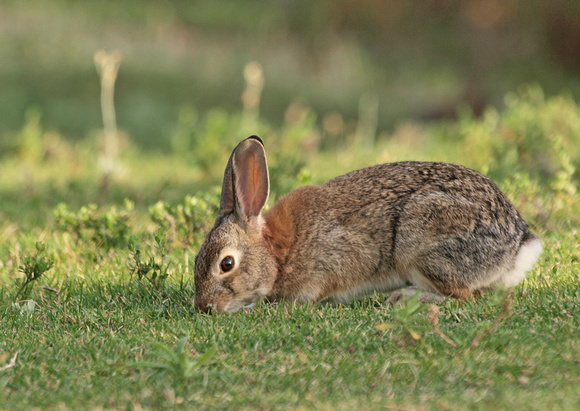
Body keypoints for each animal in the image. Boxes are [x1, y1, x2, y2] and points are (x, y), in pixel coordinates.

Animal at [195, 135, 544, 312]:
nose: (204, 306)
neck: (278, 253)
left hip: (422, 242)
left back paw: (404, 298)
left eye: (226, 264)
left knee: (463, 296)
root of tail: (518, 244)